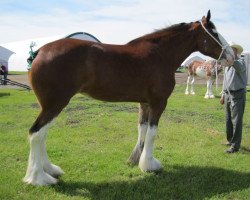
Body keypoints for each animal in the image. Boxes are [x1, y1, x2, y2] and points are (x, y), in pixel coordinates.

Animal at [23, 10, 234, 186]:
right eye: (214, 33)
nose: (232, 55)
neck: (159, 55)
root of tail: (40, 51)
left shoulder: (145, 103)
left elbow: (142, 129)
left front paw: (135, 159)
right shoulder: (158, 103)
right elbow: (152, 132)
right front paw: (149, 164)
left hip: (51, 106)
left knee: (42, 135)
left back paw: (50, 169)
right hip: (54, 104)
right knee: (36, 133)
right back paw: (39, 178)